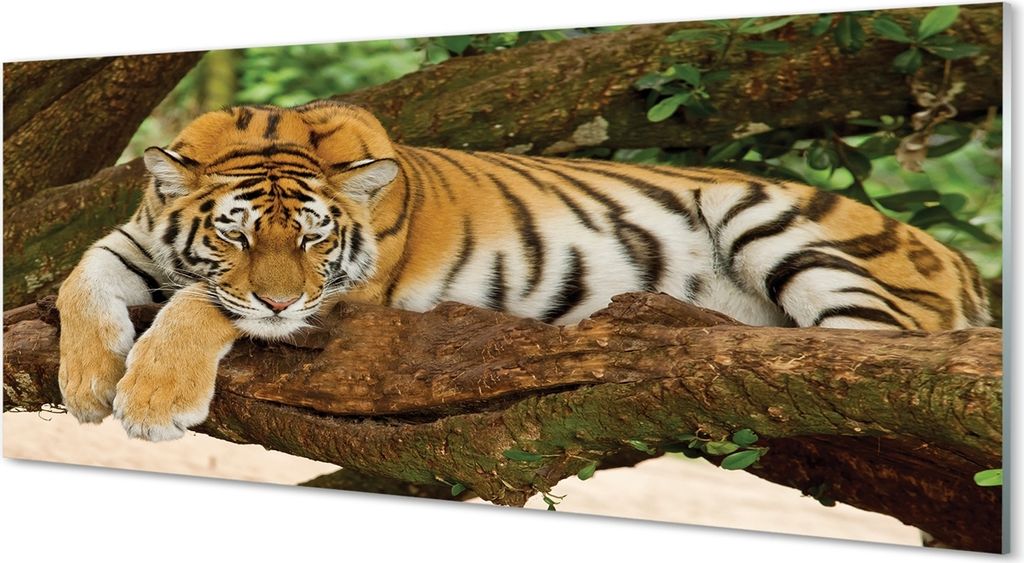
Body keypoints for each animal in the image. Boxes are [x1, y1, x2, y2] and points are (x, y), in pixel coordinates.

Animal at [55, 100, 991, 441]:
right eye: (239, 236)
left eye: (316, 242)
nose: (282, 297)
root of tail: (960, 258)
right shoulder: (135, 241)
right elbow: (78, 278)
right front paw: (90, 379)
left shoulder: (343, 293)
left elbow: (203, 307)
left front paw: (152, 400)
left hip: (771, 219)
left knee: (860, 359)